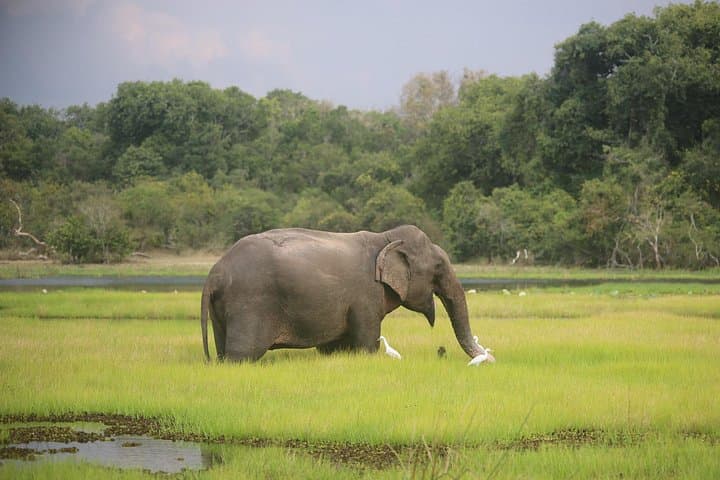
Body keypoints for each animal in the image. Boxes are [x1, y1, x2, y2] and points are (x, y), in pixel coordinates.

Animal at [201, 225, 485, 362]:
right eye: (438, 268)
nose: (488, 358)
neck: (384, 238)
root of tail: (214, 274)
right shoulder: (365, 297)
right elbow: (367, 341)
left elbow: (334, 347)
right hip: (249, 305)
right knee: (241, 355)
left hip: (223, 310)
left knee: (223, 350)